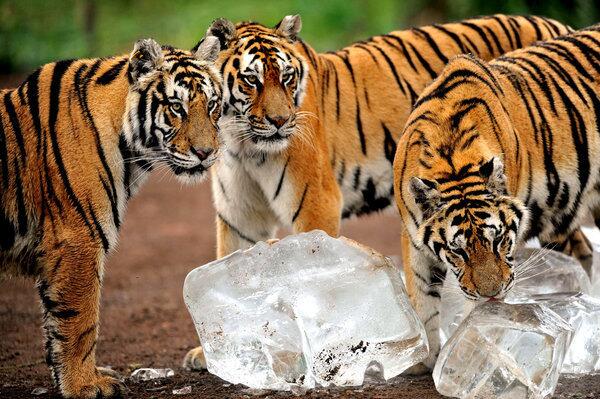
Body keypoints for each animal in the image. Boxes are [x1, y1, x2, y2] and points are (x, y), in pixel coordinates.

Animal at [0, 36, 224, 398]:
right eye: (177, 107)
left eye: (213, 105)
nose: (207, 153)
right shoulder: (77, 240)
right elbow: (78, 321)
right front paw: (84, 385)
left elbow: (55, 322)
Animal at [185, 14, 576, 372]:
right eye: (251, 80)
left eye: (287, 77)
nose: (281, 121)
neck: (242, 142)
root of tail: (556, 24)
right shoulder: (240, 215)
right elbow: (228, 276)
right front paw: (211, 354)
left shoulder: (316, 202)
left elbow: (313, 273)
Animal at [392, 24, 600, 372]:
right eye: (457, 252)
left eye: (499, 240)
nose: (492, 294)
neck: (451, 159)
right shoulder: (413, 238)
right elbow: (421, 297)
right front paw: (424, 358)